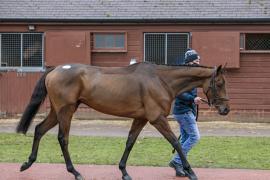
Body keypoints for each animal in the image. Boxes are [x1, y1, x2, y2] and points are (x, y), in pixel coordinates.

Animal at [15, 62, 230, 180]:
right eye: (219, 83)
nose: (225, 109)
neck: (161, 80)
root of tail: (55, 70)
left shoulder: (141, 118)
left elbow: (130, 142)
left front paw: (124, 171)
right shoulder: (157, 118)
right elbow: (175, 142)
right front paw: (190, 171)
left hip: (57, 110)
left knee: (39, 129)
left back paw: (27, 163)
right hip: (65, 110)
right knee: (62, 138)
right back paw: (75, 172)